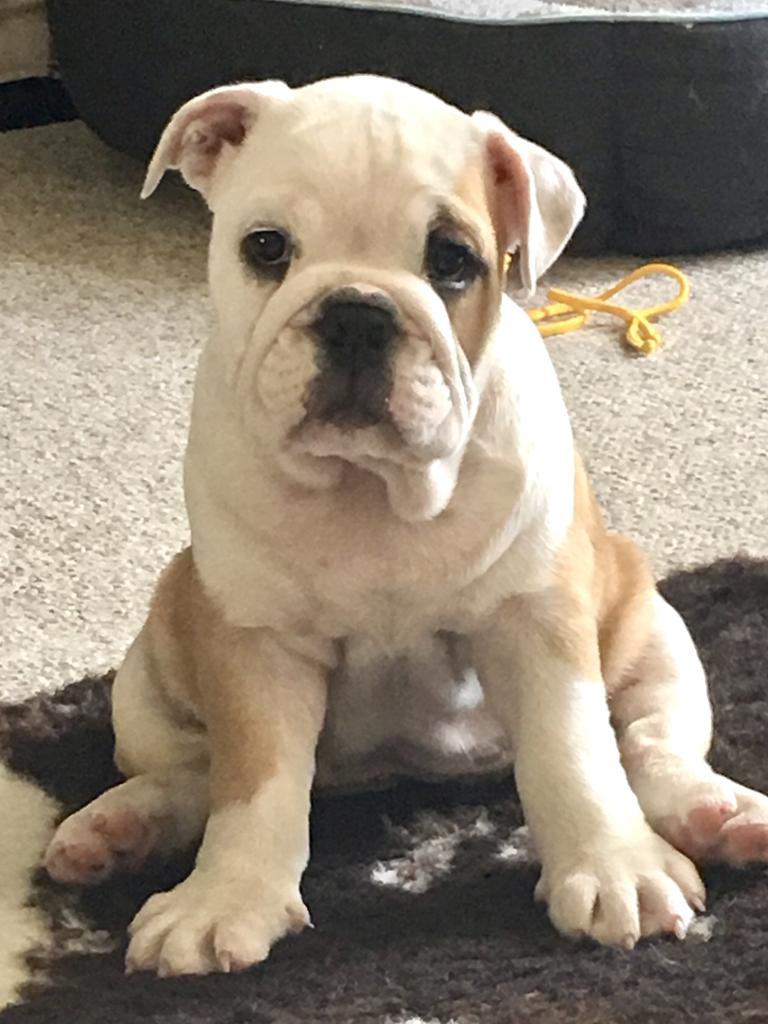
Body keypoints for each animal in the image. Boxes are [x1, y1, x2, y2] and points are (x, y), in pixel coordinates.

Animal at [45, 74, 768, 974]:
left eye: (452, 261)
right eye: (266, 248)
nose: (357, 312)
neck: (375, 490)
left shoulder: (537, 619)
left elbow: (575, 750)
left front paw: (615, 870)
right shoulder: (256, 643)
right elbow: (253, 778)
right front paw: (225, 899)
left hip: (655, 627)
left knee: (652, 745)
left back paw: (717, 814)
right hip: (151, 665)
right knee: (188, 772)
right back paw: (118, 827)